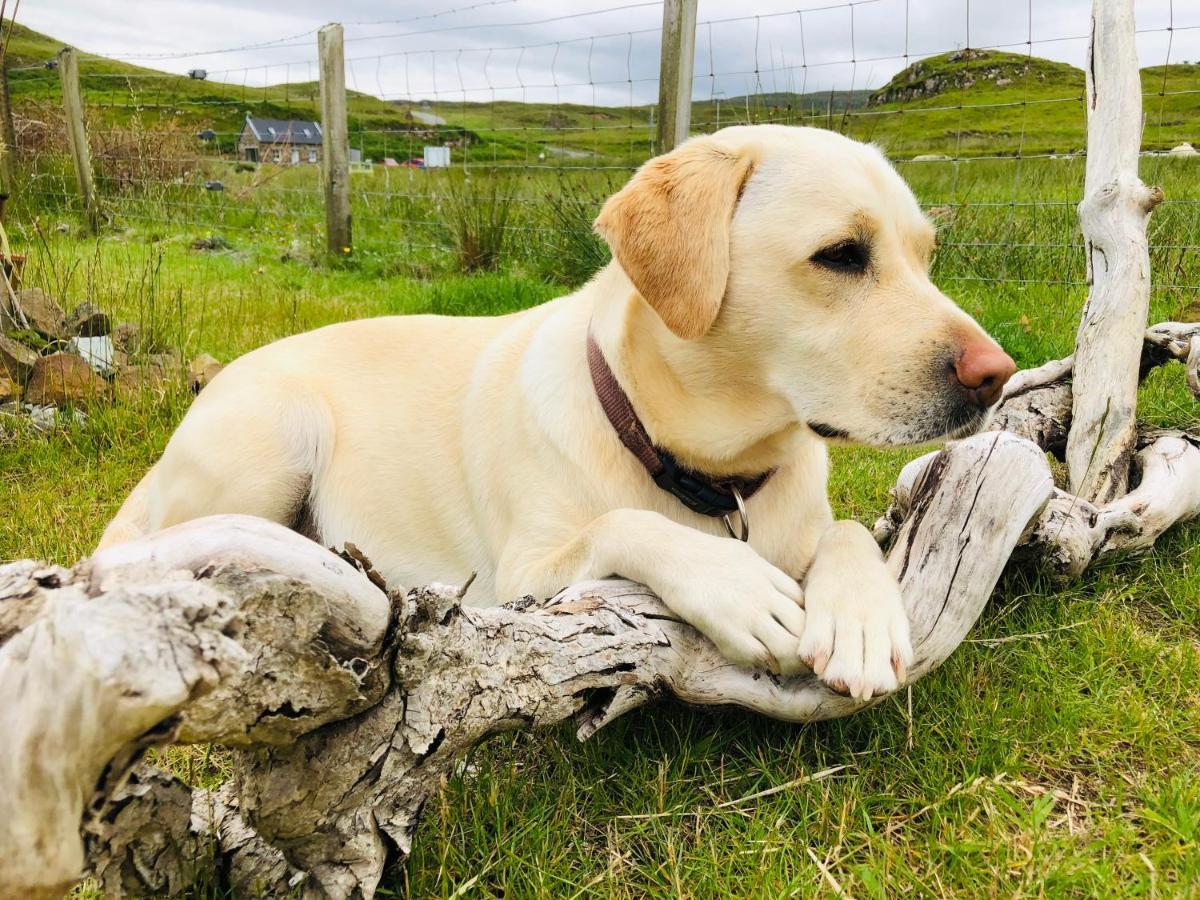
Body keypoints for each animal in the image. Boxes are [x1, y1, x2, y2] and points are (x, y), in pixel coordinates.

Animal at [108, 127, 1017, 700]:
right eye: (841, 255)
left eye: (926, 257)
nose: (996, 376)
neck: (711, 475)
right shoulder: (524, 576)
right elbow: (626, 525)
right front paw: (736, 585)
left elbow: (850, 531)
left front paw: (861, 615)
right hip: (277, 432)